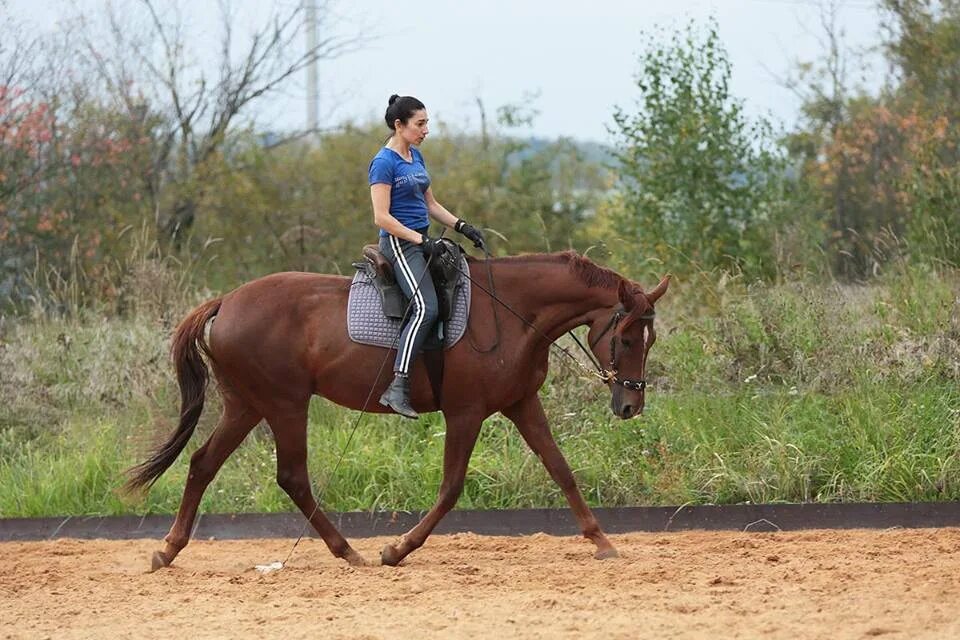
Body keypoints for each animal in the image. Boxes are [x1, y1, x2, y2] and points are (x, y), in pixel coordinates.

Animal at [125, 250, 668, 568]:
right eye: (624, 338)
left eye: (650, 338)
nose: (630, 404)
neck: (510, 313)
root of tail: (227, 301)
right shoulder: (466, 412)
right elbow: (451, 489)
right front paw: (397, 548)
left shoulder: (521, 402)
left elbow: (561, 470)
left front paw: (602, 541)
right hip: (283, 403)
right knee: (292, 477)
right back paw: (349, 551)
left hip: (246, 405)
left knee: (203, 464)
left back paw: (169, 549)